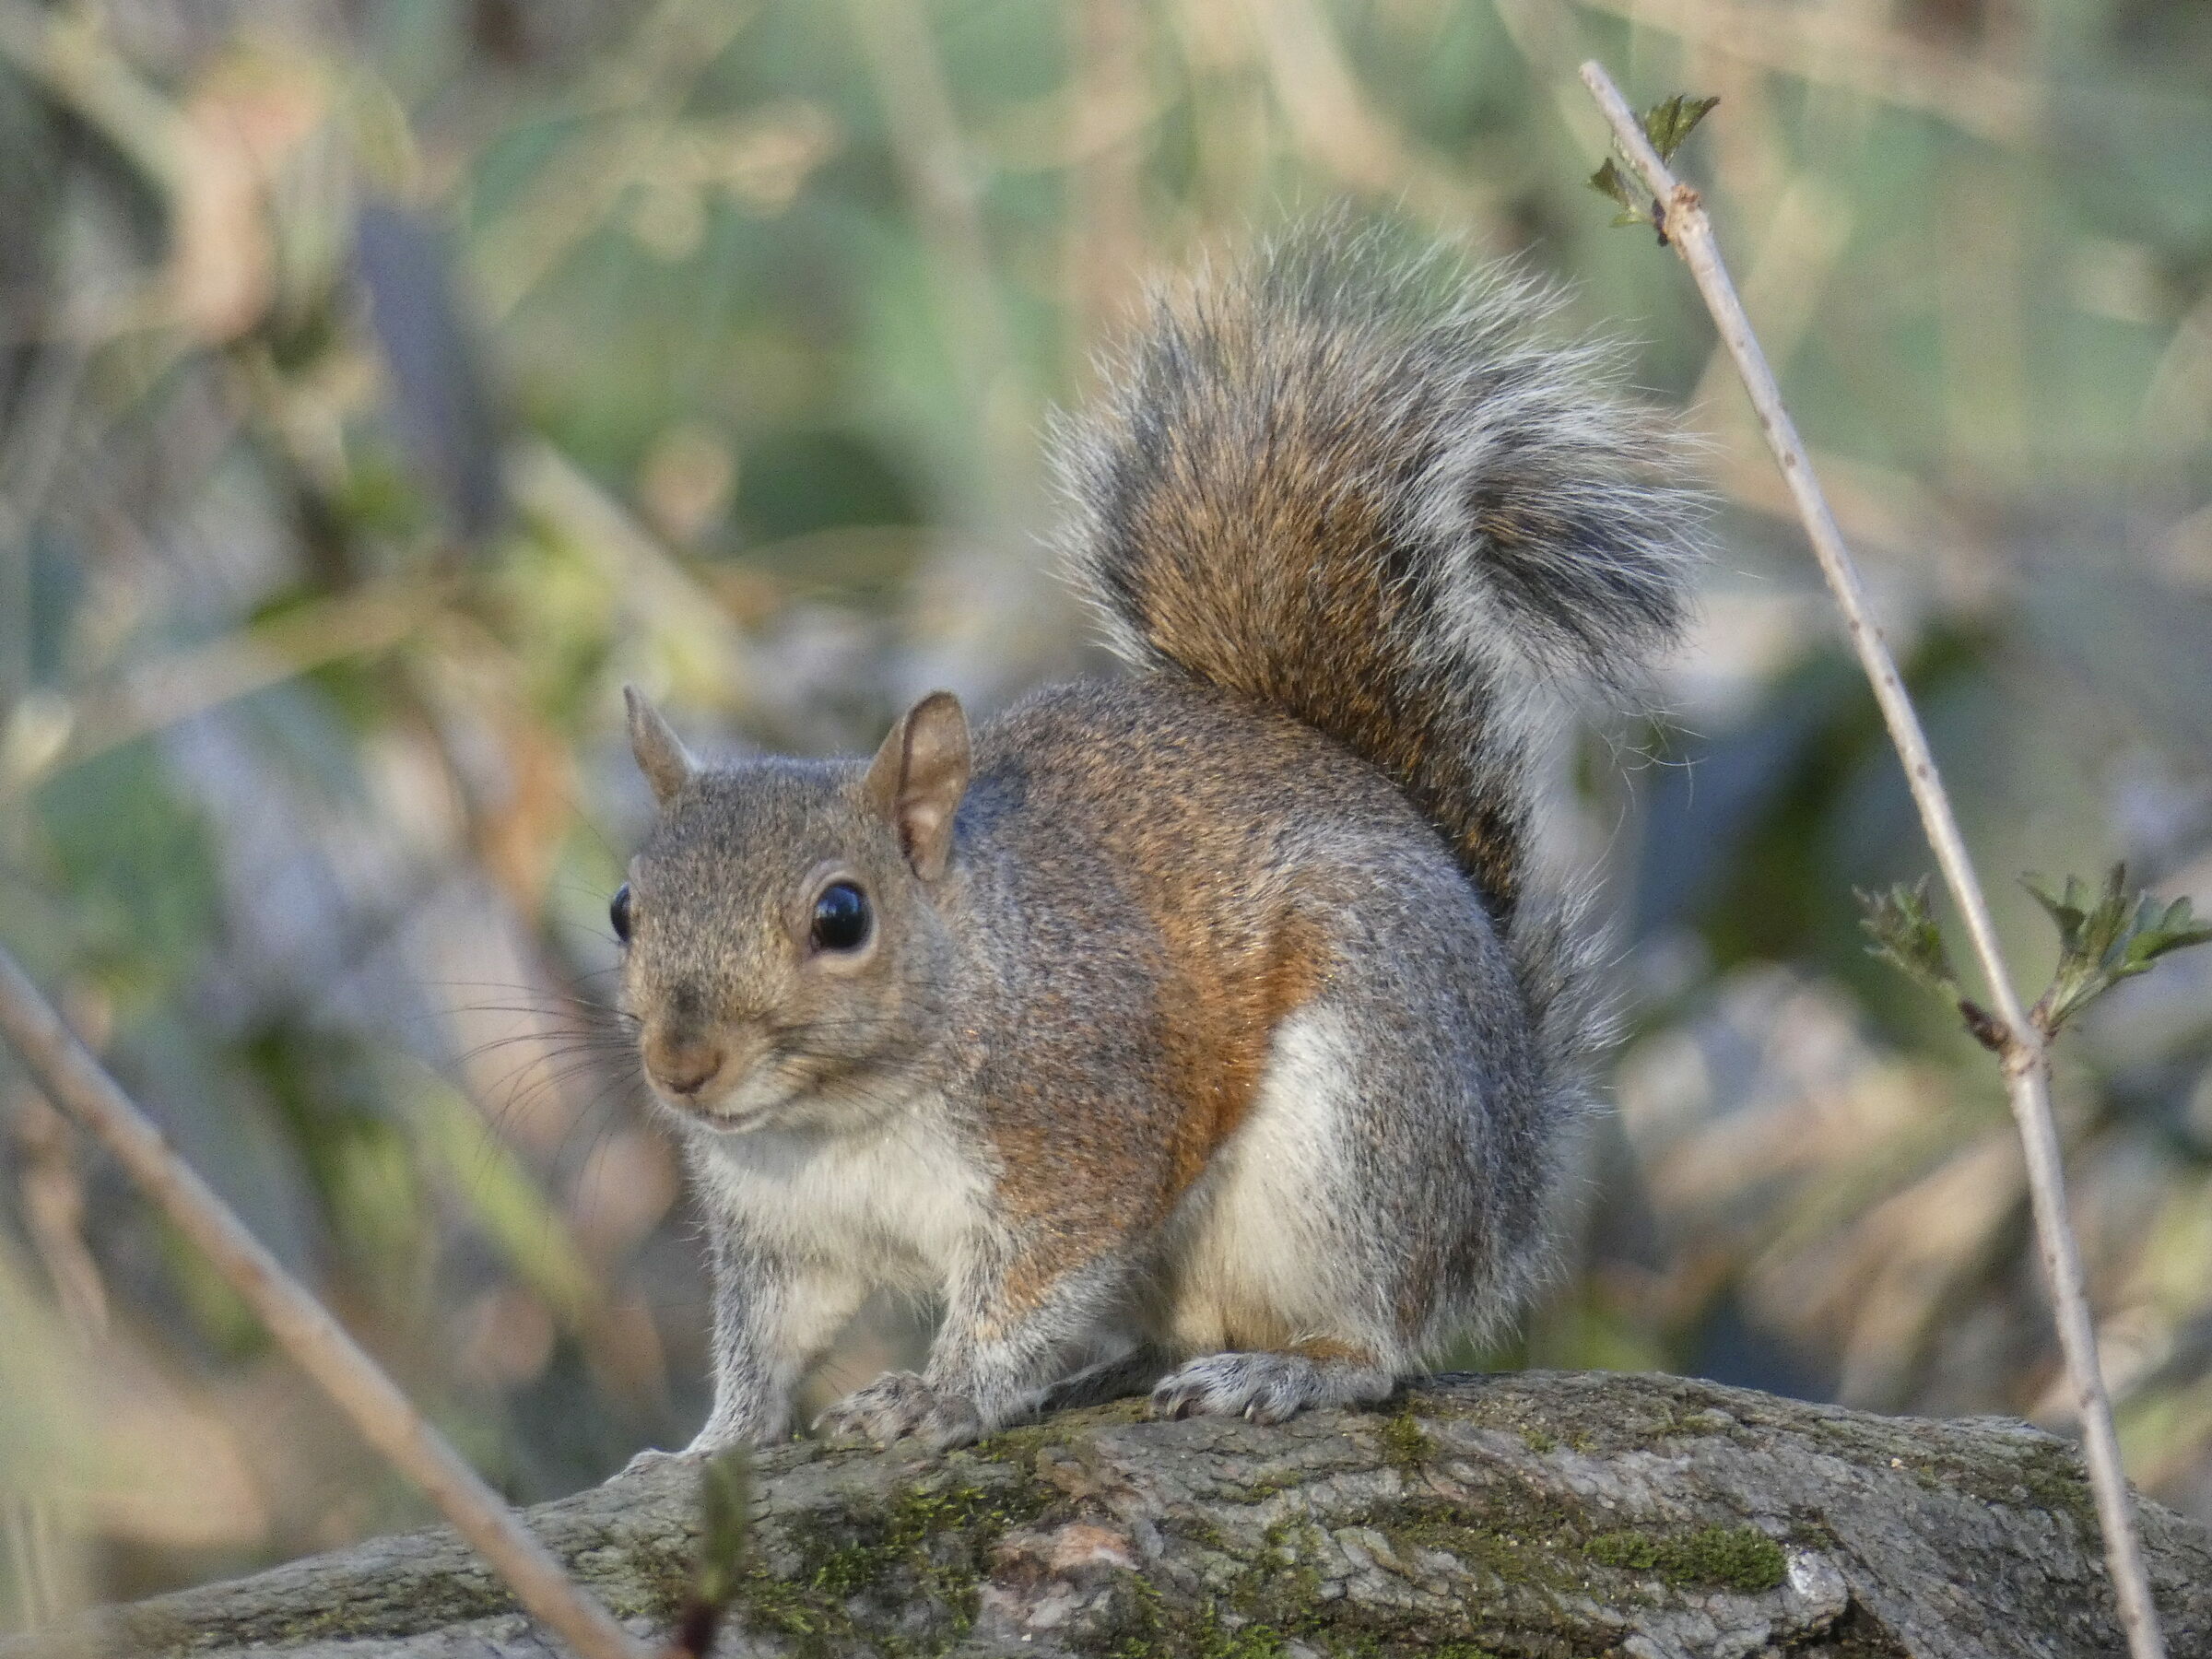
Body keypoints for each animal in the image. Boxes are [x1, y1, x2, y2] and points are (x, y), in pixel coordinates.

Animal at [612, 224, 1701, 1454]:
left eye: (841, 918)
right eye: (624, 911)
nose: (682, 1066)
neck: (841, 1115)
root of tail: (1511, 1164)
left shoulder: (1087, 1135)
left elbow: (1025, 1294)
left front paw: (940, 1396)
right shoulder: (782, 1233)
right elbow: (766, 1345)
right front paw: (706, 1447)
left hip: (1367, 1120)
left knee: (1377, 1341)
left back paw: (1283, 1373)